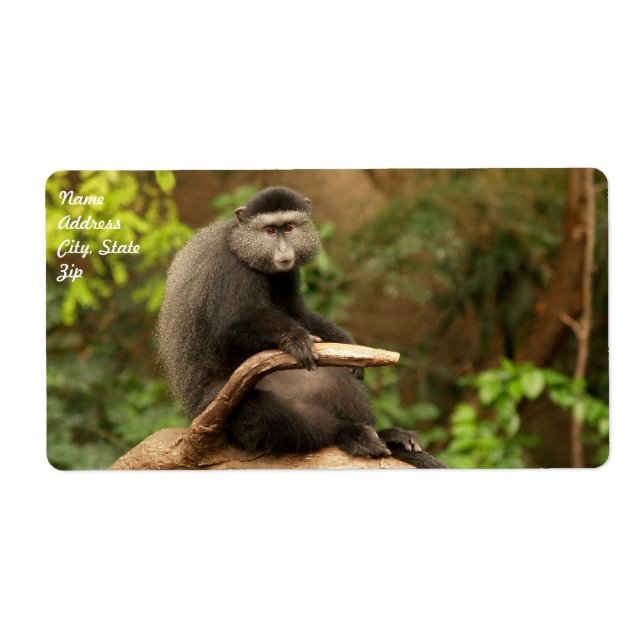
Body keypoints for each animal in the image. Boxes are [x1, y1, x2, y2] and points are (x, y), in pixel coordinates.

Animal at [158, 185, 435, 463]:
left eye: (289, 228)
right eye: (270, 231)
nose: (283, 250)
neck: (240, 245)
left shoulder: (286, 274)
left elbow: (296, 312)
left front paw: (348, 347)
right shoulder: (230, 268)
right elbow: (230, 328)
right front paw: (294, 338)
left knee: (334, 378)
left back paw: (386, 434)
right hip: (219, 404)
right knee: (266, 415)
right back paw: (351, 433)